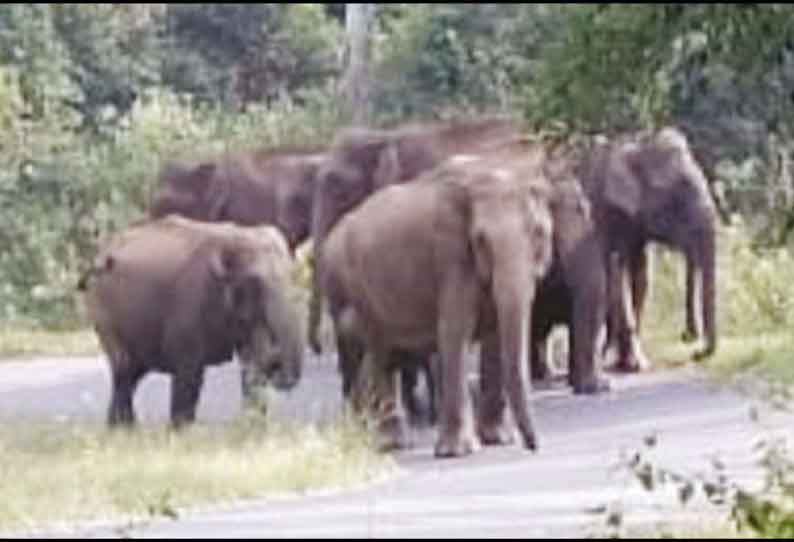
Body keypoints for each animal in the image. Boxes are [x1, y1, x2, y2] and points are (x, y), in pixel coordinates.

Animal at [79, 217, 304, 430]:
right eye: (255, 283)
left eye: (292, 276)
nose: (276, 364)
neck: (235, 238)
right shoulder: (190, 299)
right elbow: (190, 369)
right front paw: (180, 434)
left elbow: (250, 362)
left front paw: (251, 427)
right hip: (104, 311)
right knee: (124, 370)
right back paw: (125, 431)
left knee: (133, 372)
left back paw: (119, 430)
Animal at [318, 149, 552, 460]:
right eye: (480, 240)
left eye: (540, 234)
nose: (533, 446)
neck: (484, 175)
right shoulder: (450, 257)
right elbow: (455, 331)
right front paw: (458, 452)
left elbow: (495, 335)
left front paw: (498, 439)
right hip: (348, 287)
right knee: (375, 349)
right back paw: (388, 444)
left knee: (384, 354)